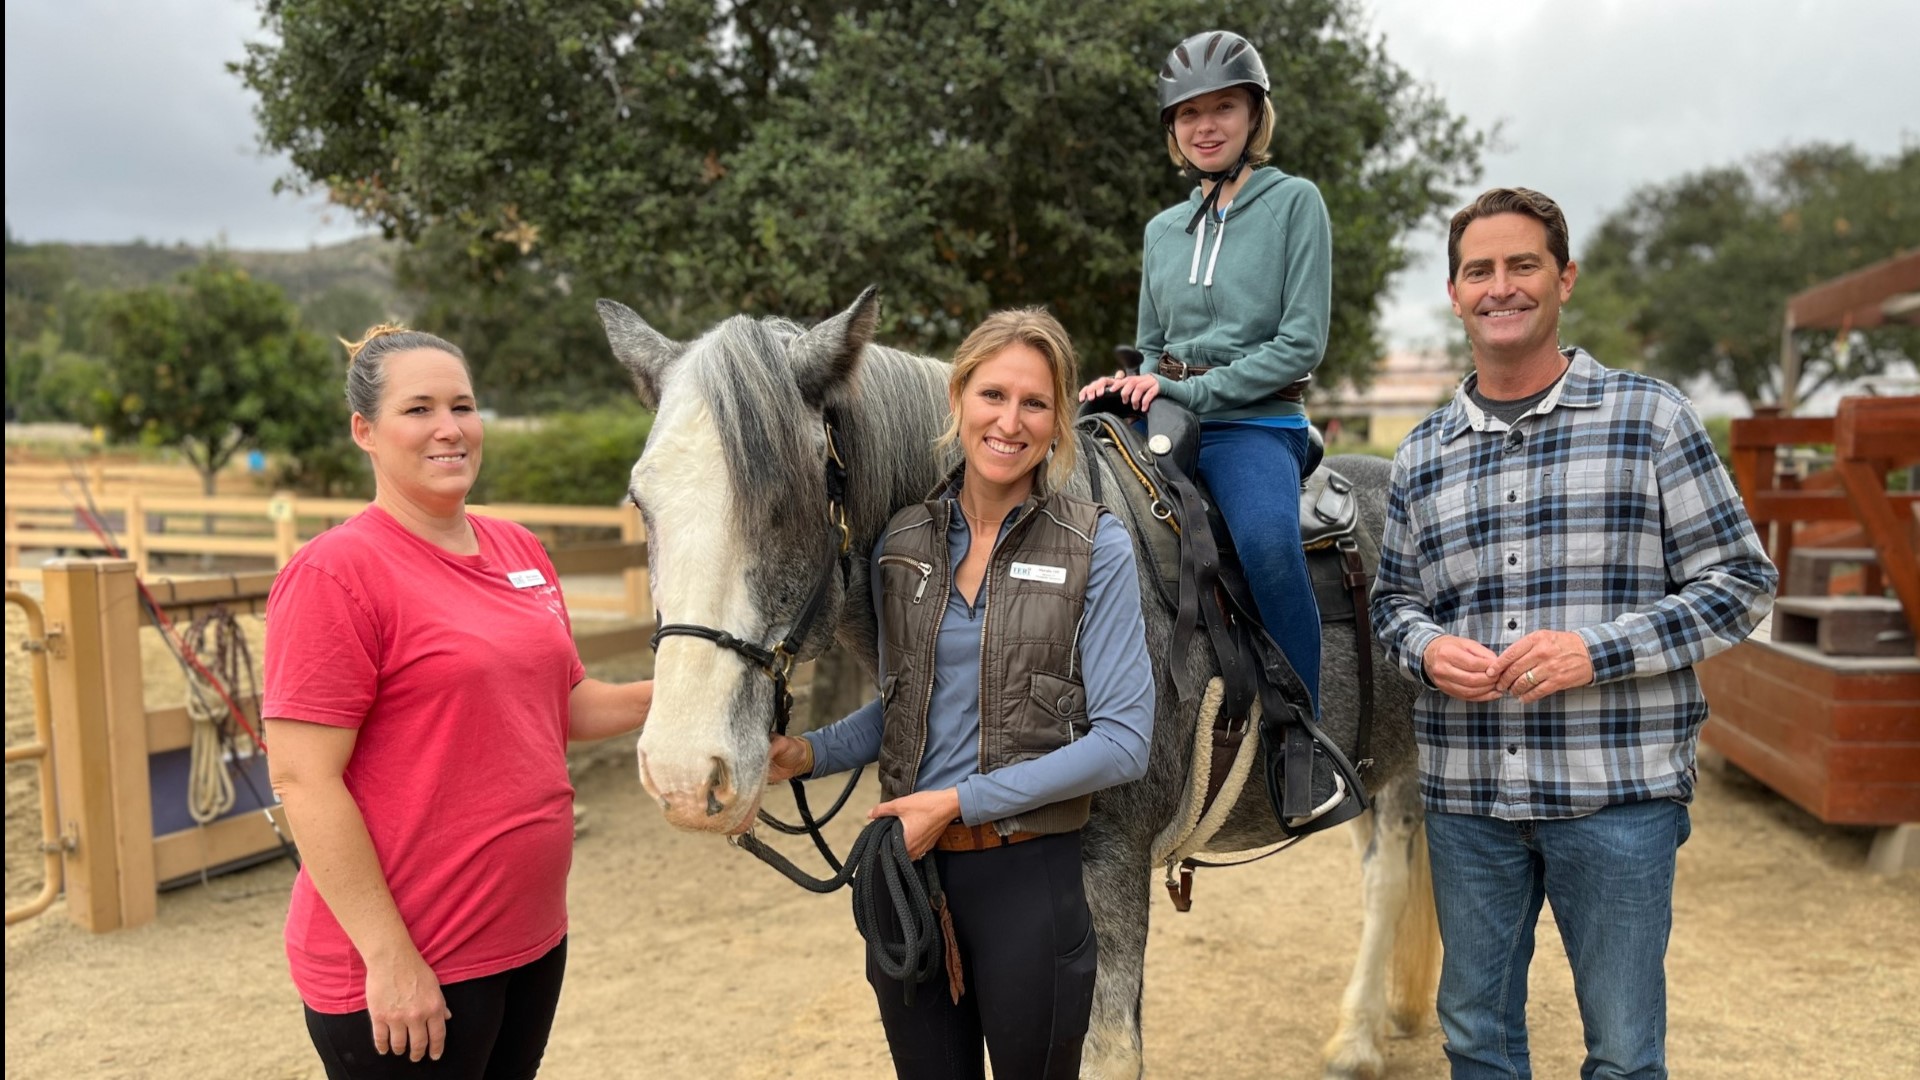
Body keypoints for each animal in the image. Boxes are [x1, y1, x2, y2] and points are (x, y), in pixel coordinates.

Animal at [602, 288, 1443, 1076]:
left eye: (782, 504)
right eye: (641, 501)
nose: (683, 773)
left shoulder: (1112, 867)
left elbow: (1108, 1050)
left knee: (1387, 882)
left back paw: (1358, 1040)